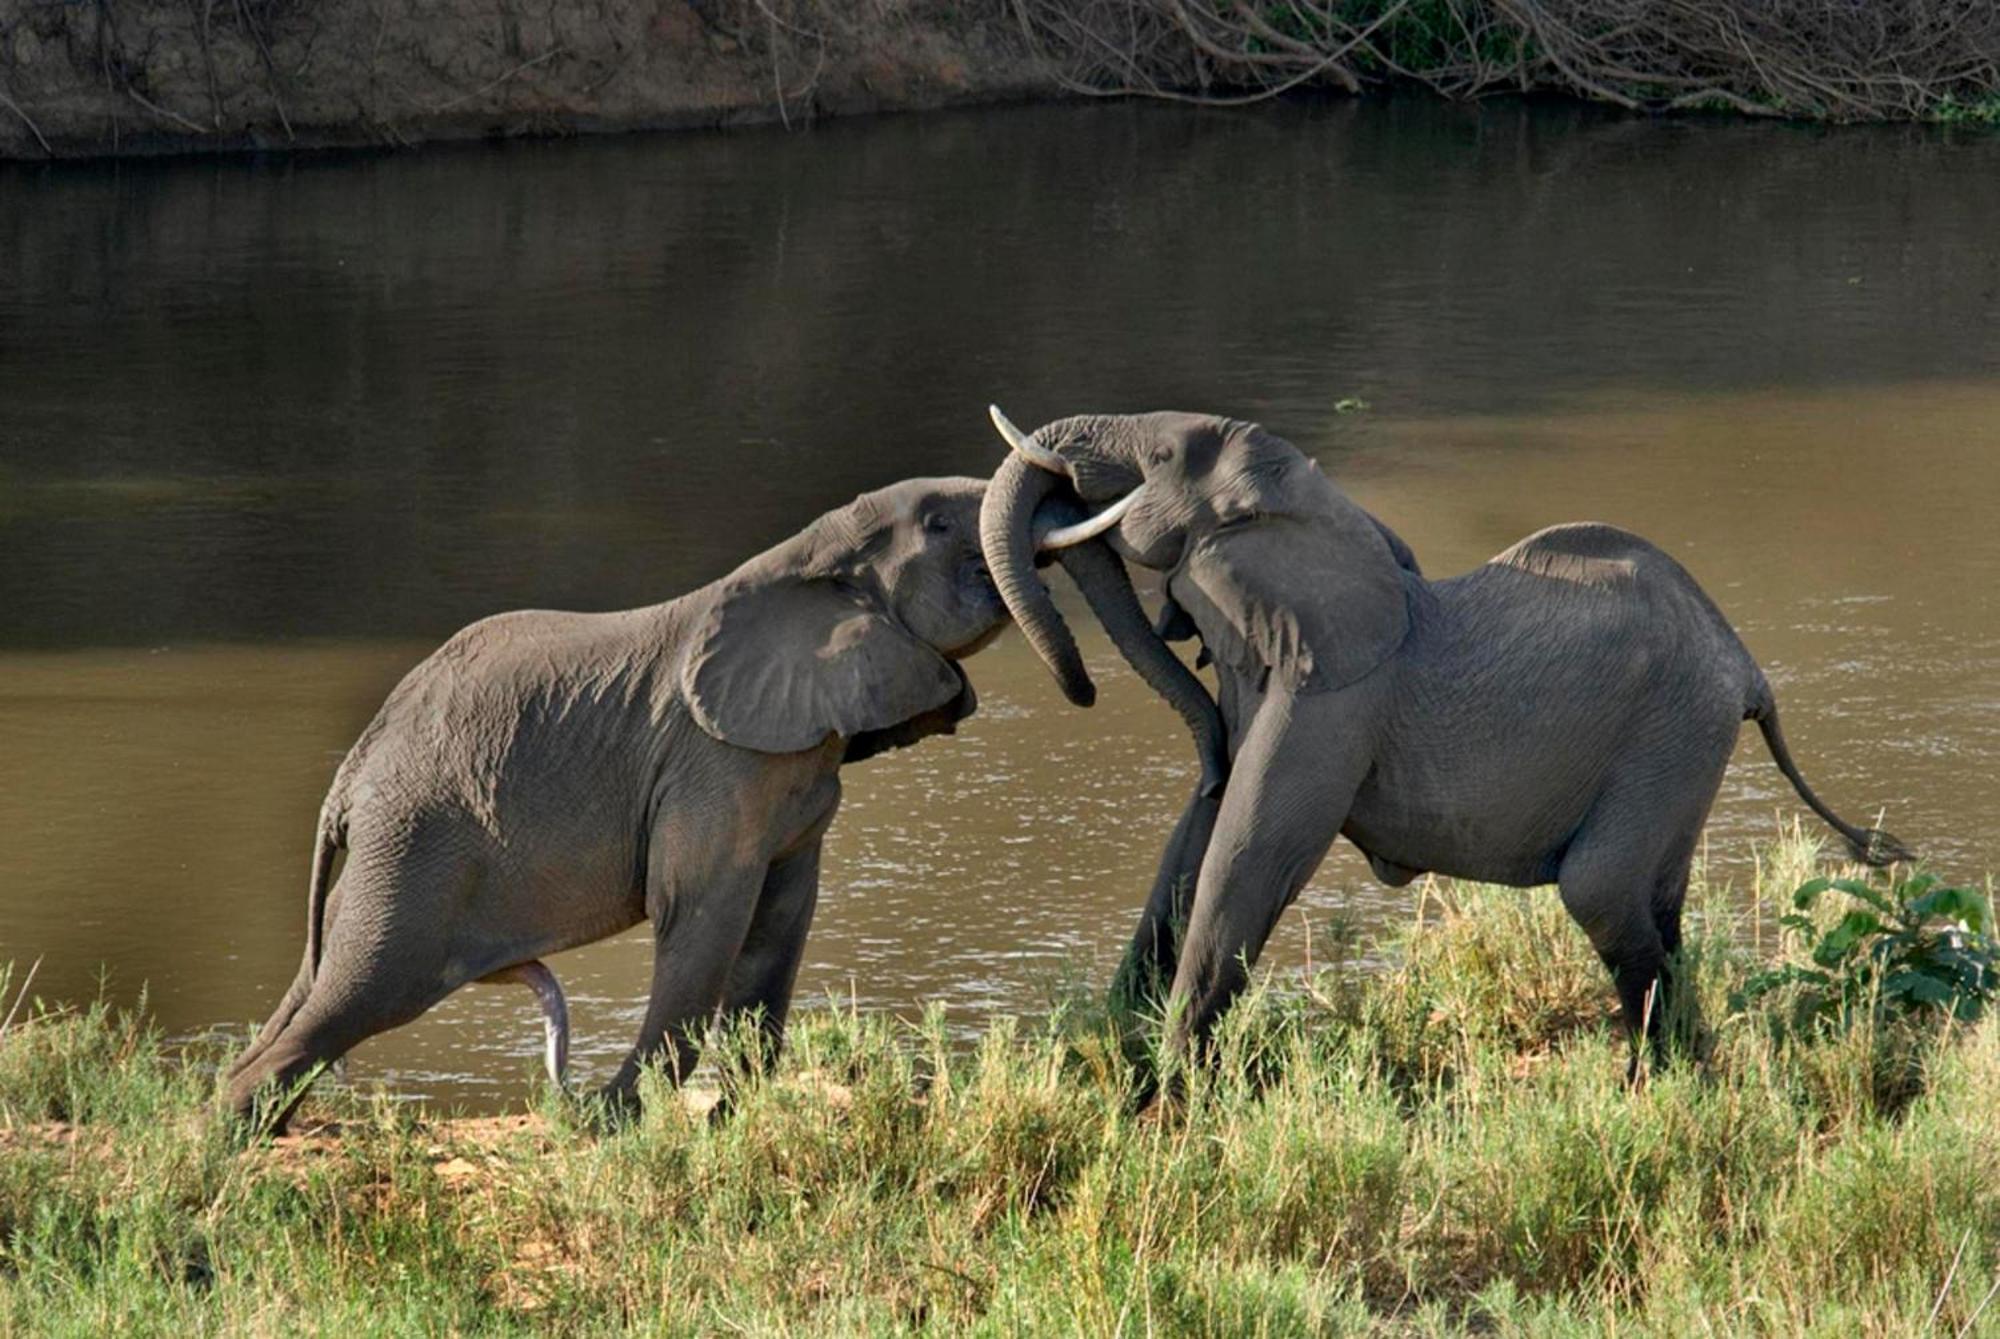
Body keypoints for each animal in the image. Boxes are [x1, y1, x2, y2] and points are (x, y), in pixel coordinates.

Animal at [230, 477, 1016, 1127]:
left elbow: (781, 921)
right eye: (939, 523)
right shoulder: (713, 765)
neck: (803, 558)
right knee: (369, 986)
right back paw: (236, 1138)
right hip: (419, 847)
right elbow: (701, 914)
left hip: (390, 857)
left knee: (321, 981)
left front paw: (731, 1111)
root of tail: (351, 773)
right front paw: (621, 1119)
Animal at [976, 403, 1912, 1079]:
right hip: (1686, 742)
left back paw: (1656, 1087)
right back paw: (1686, 1074)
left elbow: (1247, 853)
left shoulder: (1335, 702)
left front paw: (1165, 1091)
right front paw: (1114, 1047)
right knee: (1655, 901)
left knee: (1602, 890)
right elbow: (1196, 840)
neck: (1319, 508)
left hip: (1674, 732)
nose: (1084, 687)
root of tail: (1748, 668)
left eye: (1164, 456)